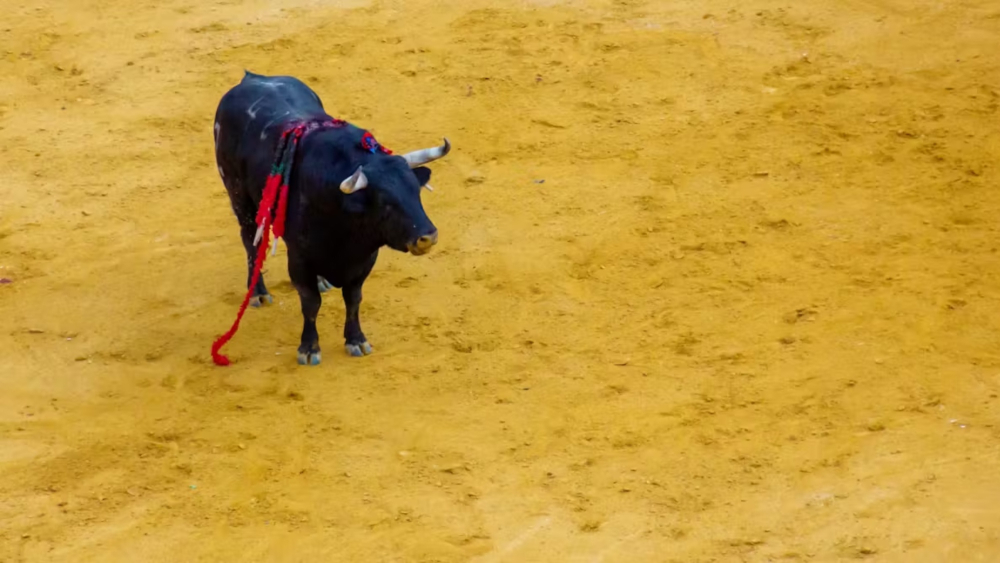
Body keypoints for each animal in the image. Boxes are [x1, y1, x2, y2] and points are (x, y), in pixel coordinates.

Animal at [213, 70, 452, 368]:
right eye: (385, 202)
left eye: (415, 192)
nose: (428, 237)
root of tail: (251, 78)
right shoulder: (300, 258)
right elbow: (310, 303)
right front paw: (308, 348)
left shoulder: (365, 258)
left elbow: (353, 298)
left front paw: (356, 340)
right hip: (238, 196)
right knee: (250, 241)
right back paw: (257, 292)